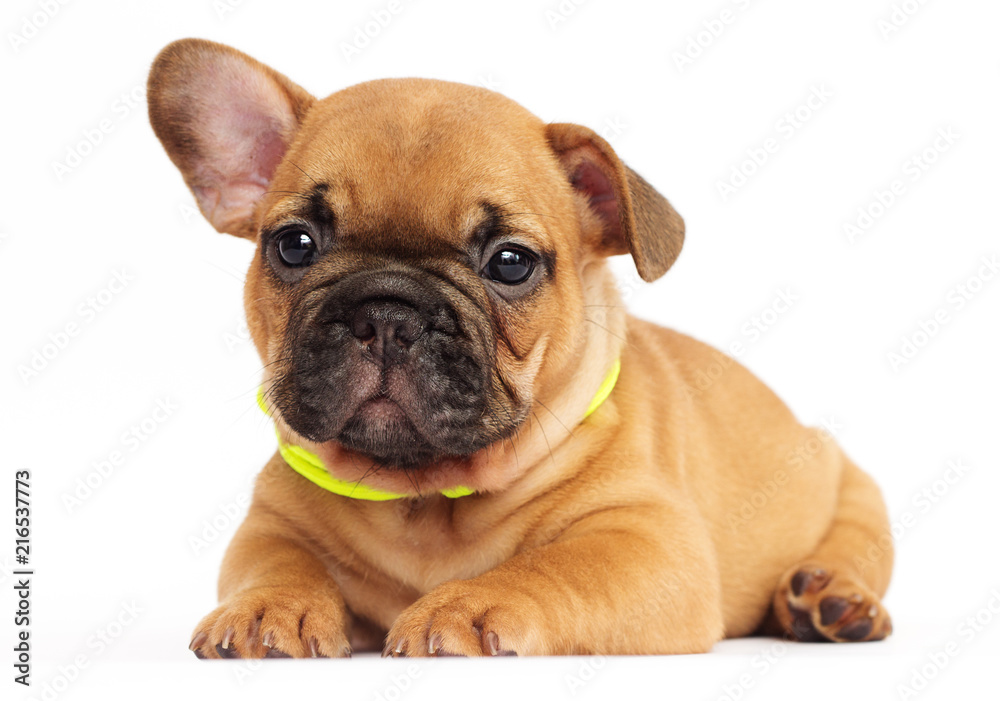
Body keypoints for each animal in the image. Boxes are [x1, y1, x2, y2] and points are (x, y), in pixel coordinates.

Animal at [146, 38, 892, 660]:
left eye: (510, 263)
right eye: (294, 245)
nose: (387, 311)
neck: (425, 493)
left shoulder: (648, 540)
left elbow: (555, 566)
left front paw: (468, 605)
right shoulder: (270, 521)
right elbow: (276, 560)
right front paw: (268, 606)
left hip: (852, 486)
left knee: (857, 542)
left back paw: (831, 600)